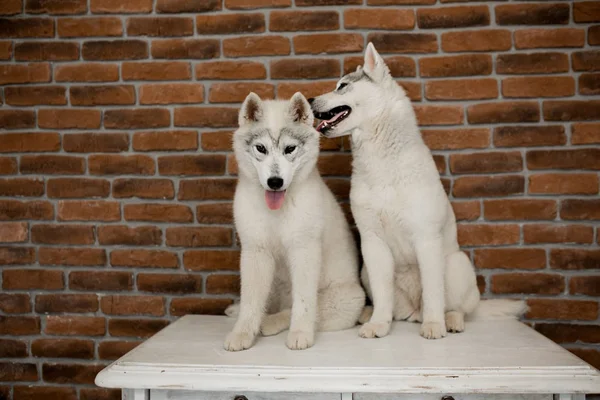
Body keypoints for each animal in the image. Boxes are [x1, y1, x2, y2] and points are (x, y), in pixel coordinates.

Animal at [224, 92, 366, 352]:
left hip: (344, 299)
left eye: (290, 148)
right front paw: (242, 333)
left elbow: (303, 303)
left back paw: (270, 323)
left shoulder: (304, 250)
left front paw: (300, 334)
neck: (277, 211)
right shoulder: (255, 252)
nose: (275, 182)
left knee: (294, 310)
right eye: (261, 148)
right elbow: (251, 300)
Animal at [310, 42, 524, 340]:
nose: (309, 100)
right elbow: (383, 294)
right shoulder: (373, 242)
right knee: (391, 304)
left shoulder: (427, 239)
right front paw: (378, 324)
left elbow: (433, 293)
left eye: (342, 86)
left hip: (456, 265)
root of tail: (413, 311)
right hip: (365, 271)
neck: (382, 160)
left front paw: (434, 326)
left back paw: (450, 320)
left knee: (456, 306)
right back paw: (371, 314)